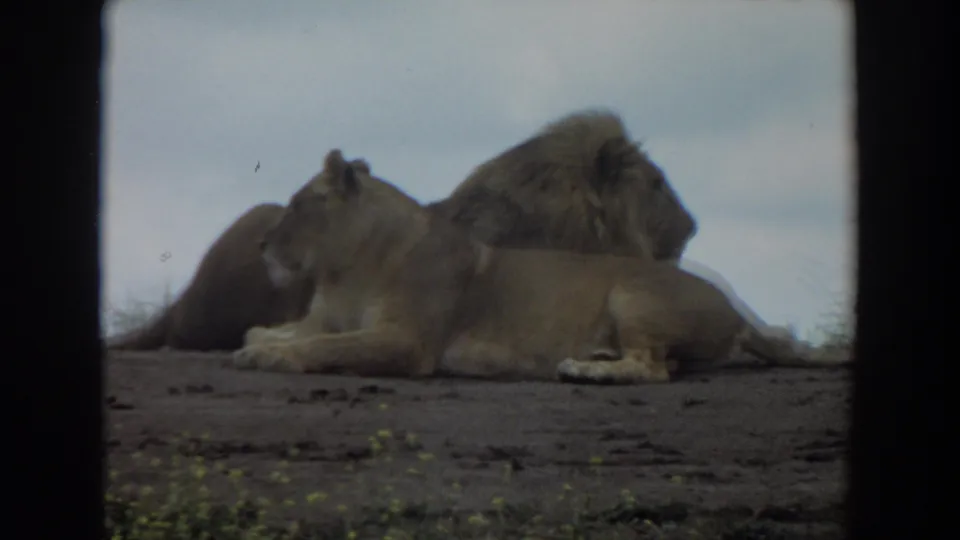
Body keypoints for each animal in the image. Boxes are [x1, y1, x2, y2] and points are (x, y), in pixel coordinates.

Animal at [231, 150, 827, 384]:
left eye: (297, 205)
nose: (259, 244)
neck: (346, 270)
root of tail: (737, 310)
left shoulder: (407, 341)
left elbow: (327, 347)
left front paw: (273, 357)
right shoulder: (323, 317)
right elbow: (269, 329)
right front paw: (260, 345)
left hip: (632, 292)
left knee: (652, 368)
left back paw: (588, 369)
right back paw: (595, 355)